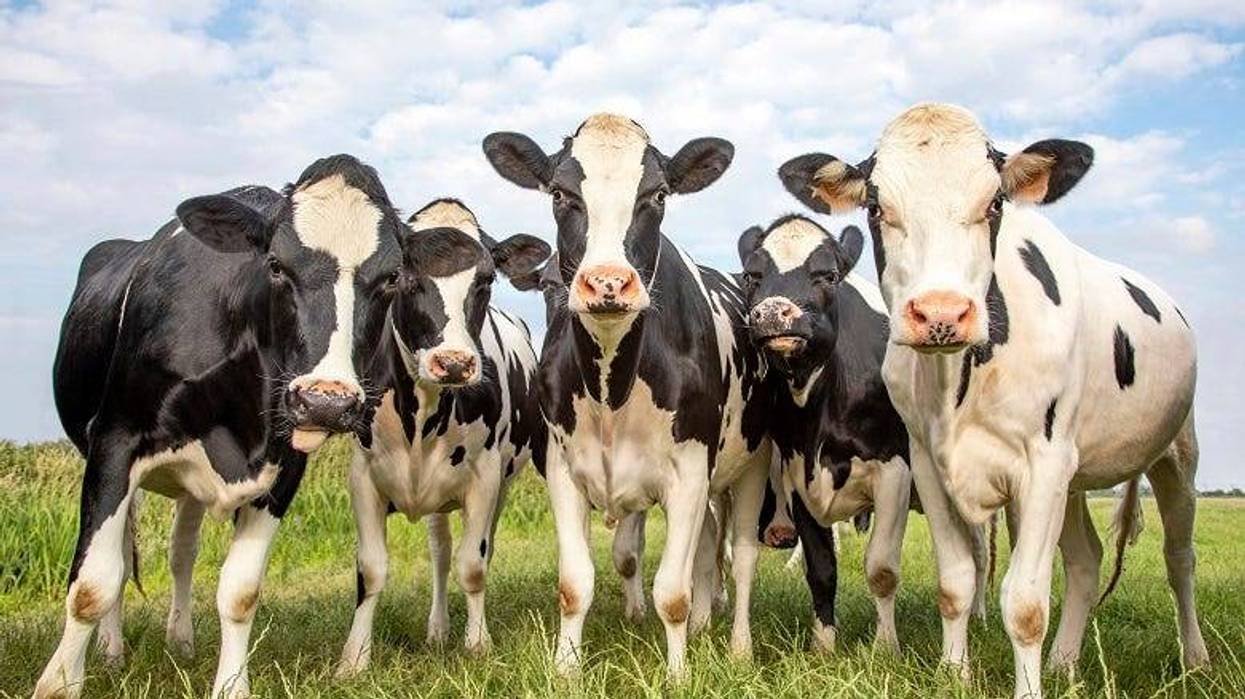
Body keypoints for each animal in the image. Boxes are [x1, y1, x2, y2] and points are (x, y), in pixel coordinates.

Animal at [39, 155, 404, 699]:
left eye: (392, 277)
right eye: (275, 265)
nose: (325, 401)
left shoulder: (282, 467)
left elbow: (240, 592)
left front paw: (230, 686)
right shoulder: (114, 441)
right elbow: (92, 584)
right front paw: (59, 682)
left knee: (181, 553)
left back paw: (181, 640)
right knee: (122, 556)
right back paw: (112, 651)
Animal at [335, 198, 550, 675]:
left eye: (486, 279)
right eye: (401, 277)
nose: (453, 363)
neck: (422, 417)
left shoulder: (486, 476)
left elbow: (473, 564)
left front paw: (478, 644)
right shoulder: (363, 475)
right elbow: (371, 569)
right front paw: (353, 659)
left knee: (472, 550)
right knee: (439, 553)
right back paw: (436, 628)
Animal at [483, 113, 772, 676]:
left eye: (657, 195)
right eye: (559, 193)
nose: (608, 283)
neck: (610, 388)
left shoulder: (690, 473)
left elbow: (673, 592)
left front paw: (678, 674)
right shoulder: (562, 469)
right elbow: (575, 583)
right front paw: (566, 669)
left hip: (752, 463)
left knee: (743, 556)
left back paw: (739, 646)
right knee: (709, 545)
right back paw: (704, 624)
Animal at [779, 102, 1207, 698]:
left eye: (995, 202)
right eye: (876, 206)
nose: (941, 313)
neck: (956, 383)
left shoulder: (1043, 463)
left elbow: (1025, 602)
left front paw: (1027, 688)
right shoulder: (927, 464)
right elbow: (956, 581)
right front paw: (952, 673)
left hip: (1176, 456)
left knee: (1179, 557)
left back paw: (1195, 658)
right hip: (1076, 478)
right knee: (1086, 561)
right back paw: (1064, 662)